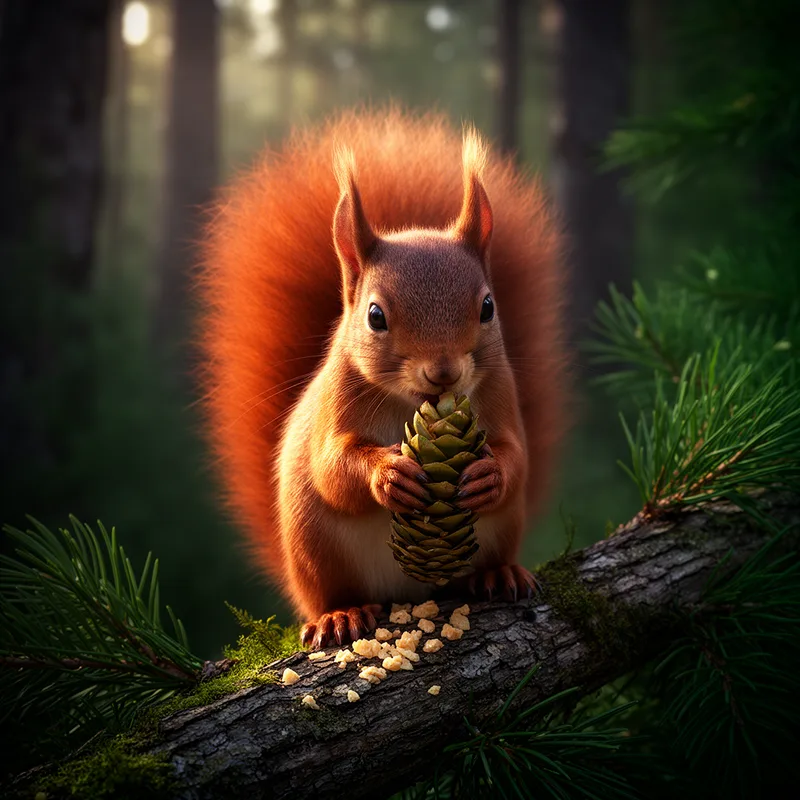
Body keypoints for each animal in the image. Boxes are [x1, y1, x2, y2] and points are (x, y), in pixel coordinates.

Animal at [197, 109, 567, 649]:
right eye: (375, 316)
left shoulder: (500, 395)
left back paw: (498, 574)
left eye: (487, 307)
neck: (415, 405)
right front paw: (387, 473)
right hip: (318, 552)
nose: (443, 372)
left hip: (500, 530)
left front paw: (490, 474)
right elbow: (332, 468)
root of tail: (410, 593)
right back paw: (341, 614)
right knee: (330, 587)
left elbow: (515, 454)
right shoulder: (335, 404)